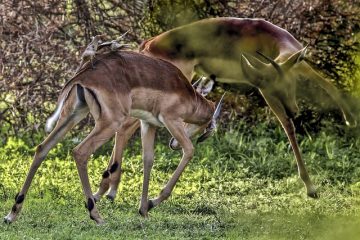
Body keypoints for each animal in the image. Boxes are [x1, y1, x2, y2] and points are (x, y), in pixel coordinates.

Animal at [2, 49, 224, 224]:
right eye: (206, 126)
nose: (173, 144)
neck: (189, 95)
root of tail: (83, 76)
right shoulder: (171, 120)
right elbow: (189, 150)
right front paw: (153, 202)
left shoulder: (148, 123)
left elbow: (148, 160)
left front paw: (144, 209)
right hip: (110, 123)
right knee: (80, 152)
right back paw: (96, 215)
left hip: (73, 115)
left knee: (42, 148)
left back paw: (12, 214)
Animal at [94, 16, 356, 201]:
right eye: (272, 87)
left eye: (288, 83)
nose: (294, 109)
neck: (270, 38)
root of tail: (148, 43)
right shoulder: (265, 90)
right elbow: (288, 127)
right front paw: (310, 187)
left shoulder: (299, 67)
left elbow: (328, 85)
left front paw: (350, 119)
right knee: (126, 126)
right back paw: (107, 191)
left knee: (127, 126)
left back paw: (108, 190)